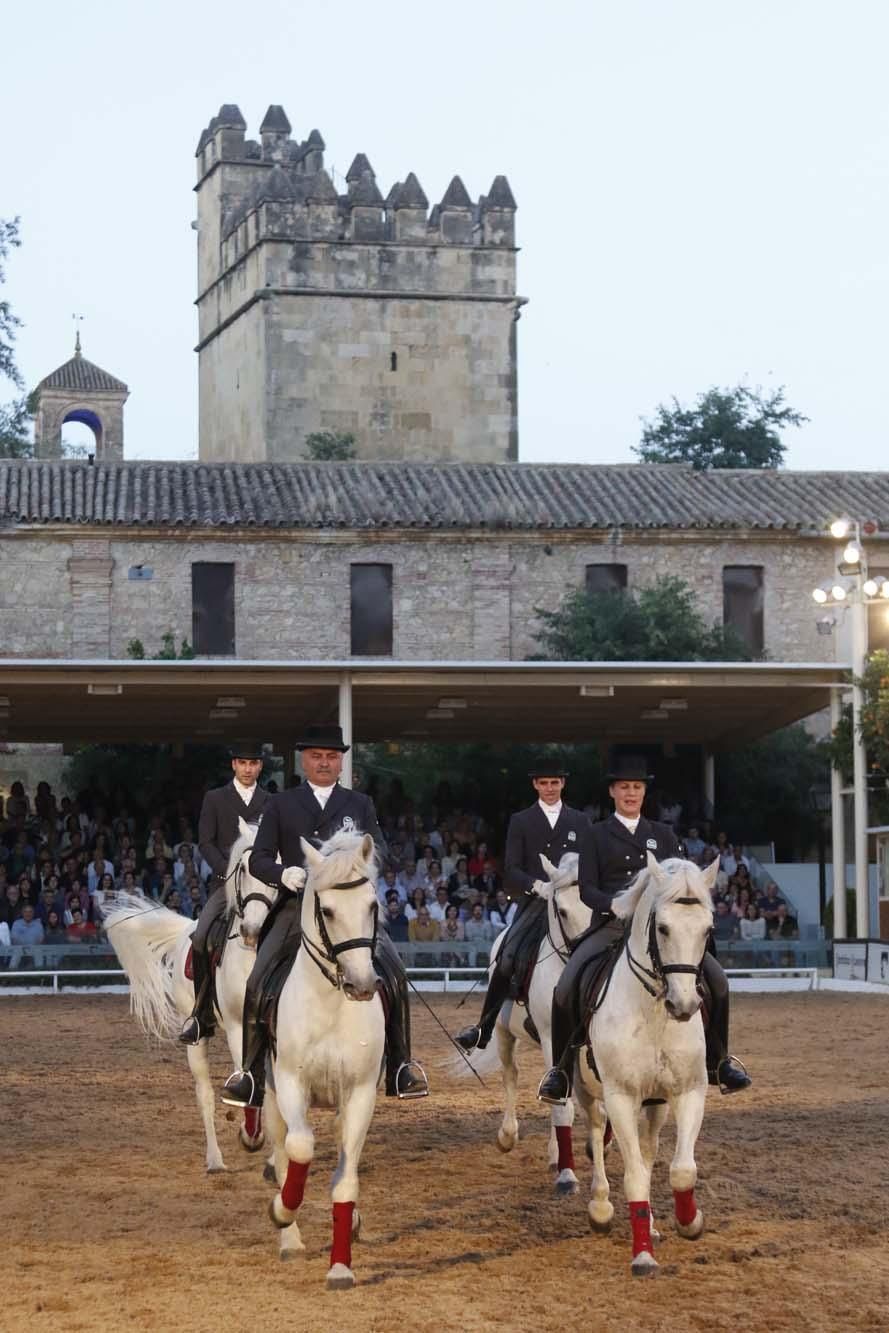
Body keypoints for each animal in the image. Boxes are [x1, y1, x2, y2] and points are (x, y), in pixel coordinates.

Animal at [100, 815, 275, 1173]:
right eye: (243, 869)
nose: (251, 930)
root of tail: (186, 930)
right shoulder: (239, 1025)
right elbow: (249, 1075)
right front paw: (251, 1135)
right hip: (195, 1034)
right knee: (205, 1093)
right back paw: (216, 1160)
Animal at [267, 826, 386, 1285]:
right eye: (329, 911)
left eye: (372, 905)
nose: (363, 985)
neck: (332, 1002)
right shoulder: (289, 1083)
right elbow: (300, 1149)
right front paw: (282, 1211)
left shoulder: (360, 1093)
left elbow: (346, 1180)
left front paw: (340, 1266)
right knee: (283, 1151)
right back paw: (289, 1237)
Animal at [466, 853, 591, 1199]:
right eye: (562, 911)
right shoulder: (552, 1039)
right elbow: (563, 1105)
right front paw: (567, 1176)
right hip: (504, 1034)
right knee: (512, 1077)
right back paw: (508, 1136)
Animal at [573, 858, 719, 1274]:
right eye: (663, 927)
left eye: (708, 929)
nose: (684, 1006)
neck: (653, 1010)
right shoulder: (620, 1097)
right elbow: (634, 1176)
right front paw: (642, 1255)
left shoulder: (689, 1092)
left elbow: (681, 1169)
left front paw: (690, 1221)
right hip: (585, 1090)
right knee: (596, 1135)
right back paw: (600, 1207)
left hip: (656, 1104)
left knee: (649, 1150)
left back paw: (652, 1222)